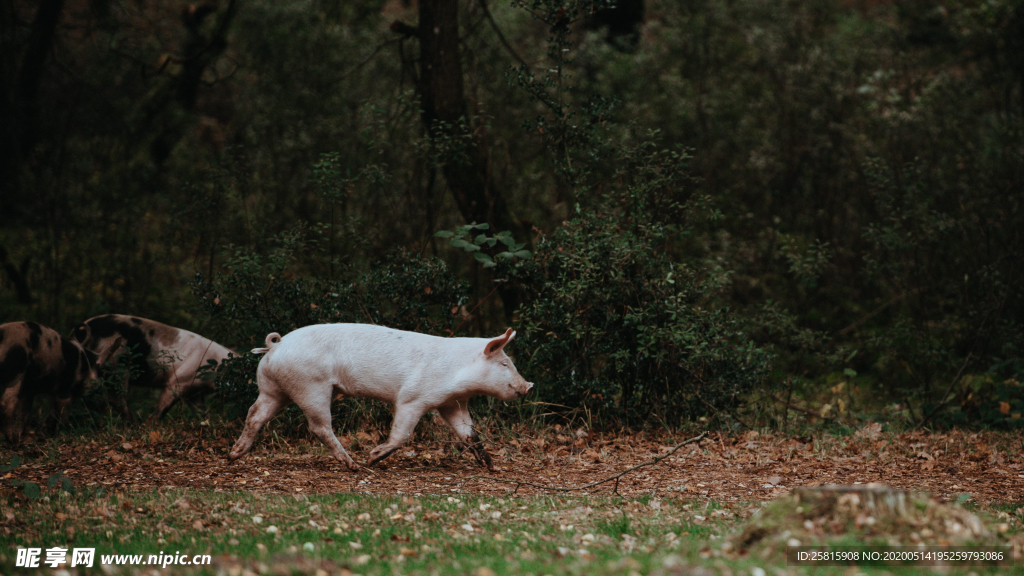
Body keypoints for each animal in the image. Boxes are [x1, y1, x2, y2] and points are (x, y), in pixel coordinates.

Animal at [71, 313, 233, 416]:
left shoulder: (195, 393)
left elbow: (202, 413)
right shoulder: (178, 381)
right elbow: (162, 408)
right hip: (117, 364)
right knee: (115, 398)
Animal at [230, 323, 536, 467]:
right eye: (504, 363)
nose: (529, 386)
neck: (458, 375)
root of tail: (276, 346)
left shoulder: (452, 404)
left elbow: (469, 434)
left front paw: (492, 467)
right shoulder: (412, 398)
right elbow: (402, 433)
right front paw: (373, 457)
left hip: (273, 389)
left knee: (254, 414)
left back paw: (234, 454)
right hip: (311, 386)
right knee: (319, 427)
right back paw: (354, 465)